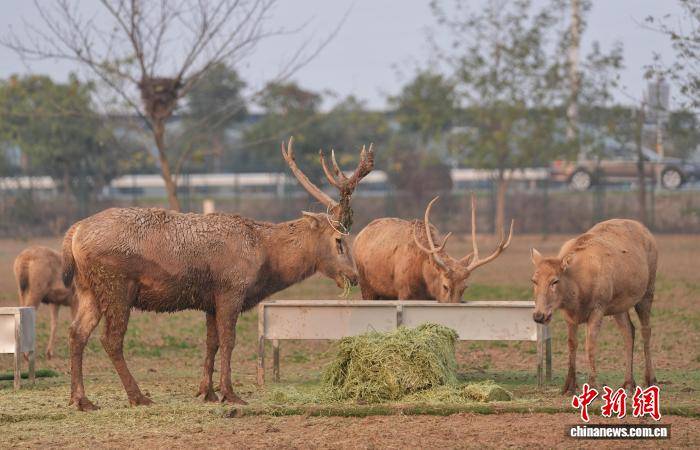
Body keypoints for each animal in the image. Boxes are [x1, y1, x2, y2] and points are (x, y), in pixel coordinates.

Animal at [61, 137, 374, 411]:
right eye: (339, 240)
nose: (354, 276)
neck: (266, 258)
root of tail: (74, 232)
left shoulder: (209, 301)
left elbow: (211, 342)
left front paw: (206, 392)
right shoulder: (230, 290)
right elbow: (228, 341)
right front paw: (229, 393)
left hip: (89, 289)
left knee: (77, 332)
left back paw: (81, 400)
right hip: (116, 285)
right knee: (110, 339)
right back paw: (137, 397)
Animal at [530, 219, 658, 394]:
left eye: (554, 281)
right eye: (534, 280)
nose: (539, 315)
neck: (577, 292)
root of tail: (647, 231)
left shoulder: (599, 306)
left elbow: (590, 344)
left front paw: (593, 385)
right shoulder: (568, 314)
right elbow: (572, 344)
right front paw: (569, 386)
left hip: (647, 291)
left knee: (646, 330)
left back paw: (651, 379)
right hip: (619, 304)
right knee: (628, 331)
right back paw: (628, 382)